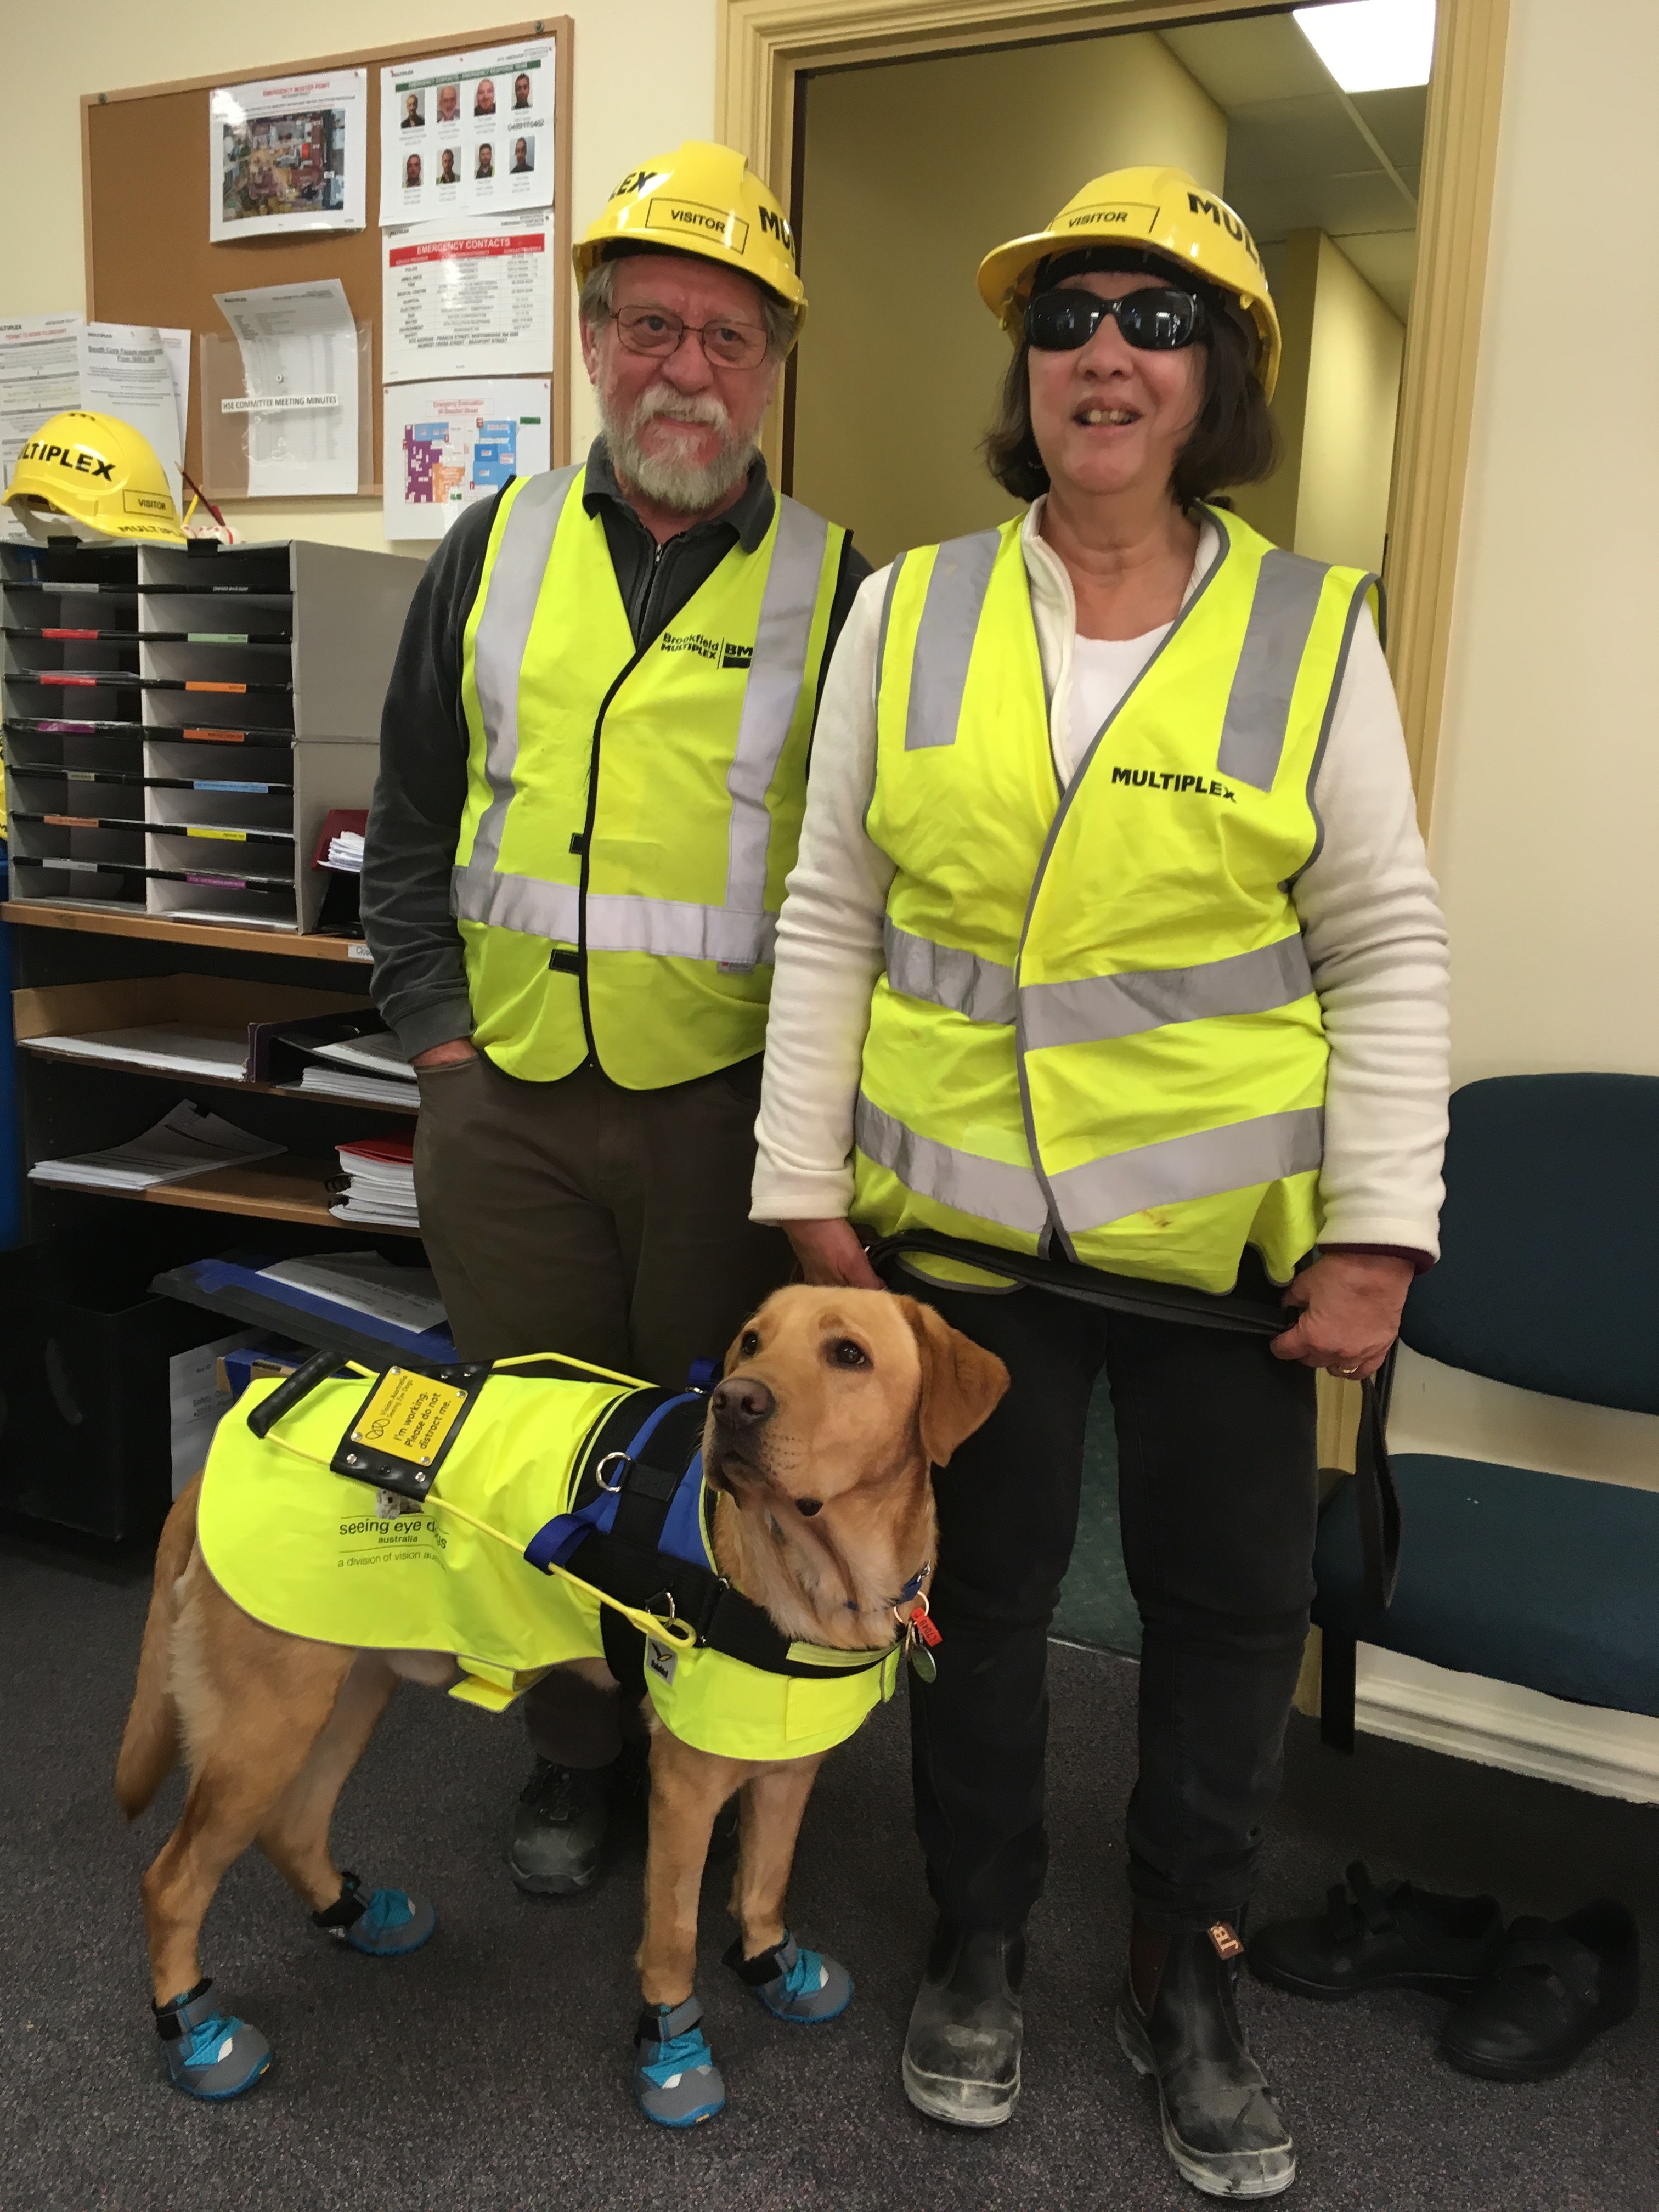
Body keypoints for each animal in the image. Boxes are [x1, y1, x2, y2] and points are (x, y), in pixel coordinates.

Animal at [117, 1291, 1008, 2114]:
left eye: (849, 1355)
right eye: (752, 1344)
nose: (733, 1401)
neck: (825, 1571)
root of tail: (208, 1469)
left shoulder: (788, 1763)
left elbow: (764, 1883)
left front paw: (768, 1964)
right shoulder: (686, 1787)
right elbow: (673, 1935)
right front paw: (672, 2049)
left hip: (346, 1687)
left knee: (293, 1824)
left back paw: (353, 1914)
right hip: (266, 1721)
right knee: (171, 1882)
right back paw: (195, 2034)